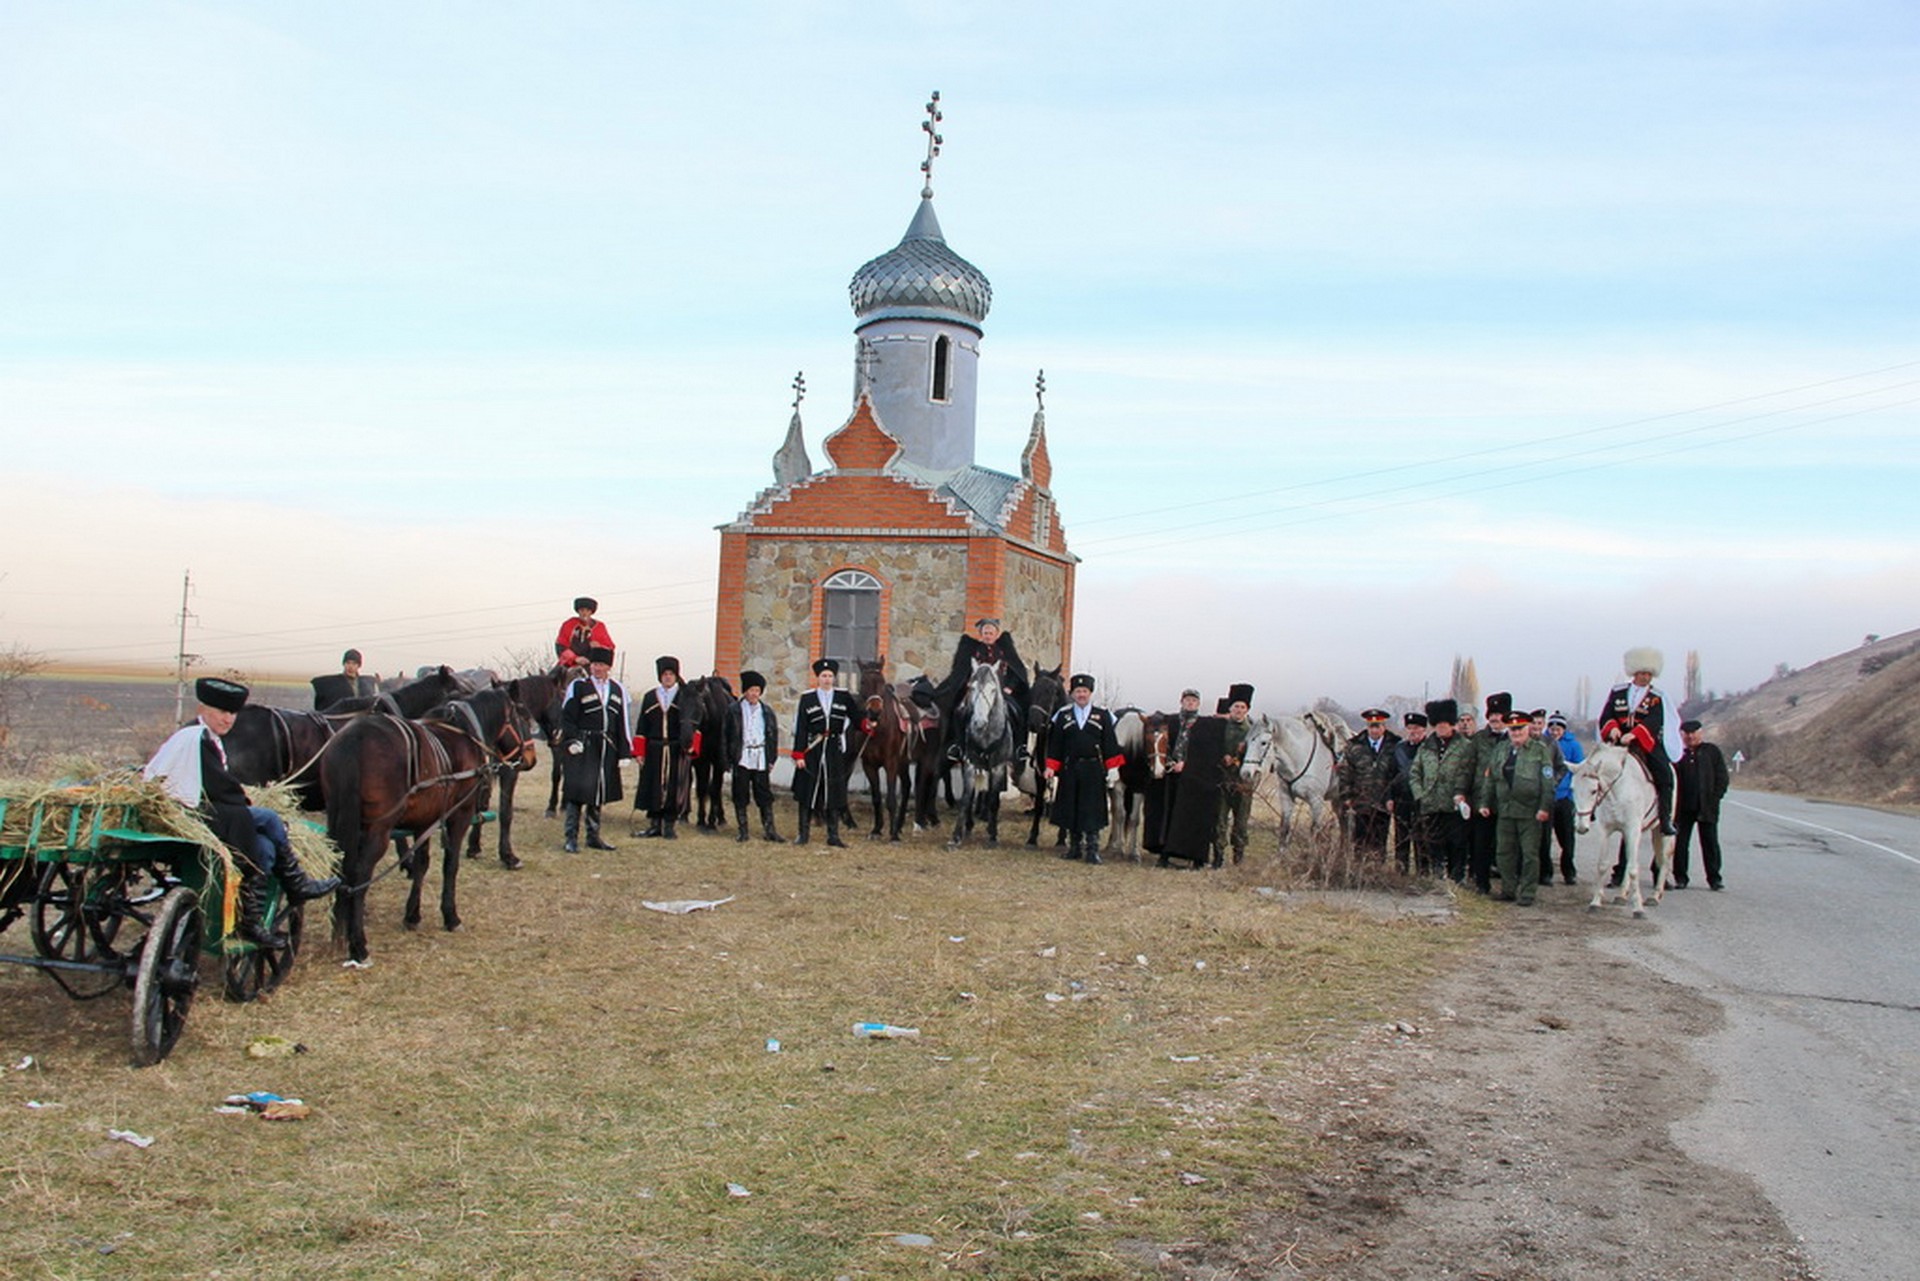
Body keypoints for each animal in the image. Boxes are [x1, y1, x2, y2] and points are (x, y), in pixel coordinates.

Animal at [320, 687, 533, 967]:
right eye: (523, 717)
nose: (530, 757)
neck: (464, 734)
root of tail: (354, 739)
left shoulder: (425, 820)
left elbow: (422, 864)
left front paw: (412, 915)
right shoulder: (459, 815)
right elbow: (450, 865)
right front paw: (451, 916)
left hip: (339, 821)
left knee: (339, 870)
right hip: (376, 830)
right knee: (359, 875)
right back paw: (359, 945)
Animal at [948, 660, 1021, 852]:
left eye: (993, 689)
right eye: (971, 687)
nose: (979, 722)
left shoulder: (998, 767)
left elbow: (994, 799)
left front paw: (993, 836)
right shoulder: (969, 764)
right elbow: (966, 797)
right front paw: (956, 836)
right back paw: (969, 825)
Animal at [1236, 710, 1344, 841]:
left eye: (1263, 743)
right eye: (1246, 742)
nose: (1245, 773)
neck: (1300, 757)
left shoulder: (1316, 802)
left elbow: (1314, 834)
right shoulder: (1286, 798)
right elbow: (1284, 831)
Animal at [1566, 741, 1674, 921]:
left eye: (1593, 790)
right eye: (1572, 789)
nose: (1581, 827)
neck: (1617, 790)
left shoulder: (1633, 830)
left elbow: (1633, 868)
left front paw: (1638, 909)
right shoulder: (1605, 830)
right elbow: (1603, 865)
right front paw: (1595, 903)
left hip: (1661, 830)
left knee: (1664, 860)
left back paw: (1654, 896)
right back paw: (1622, 895)